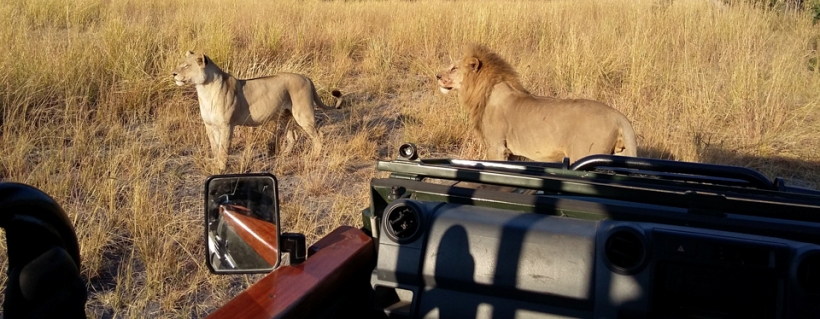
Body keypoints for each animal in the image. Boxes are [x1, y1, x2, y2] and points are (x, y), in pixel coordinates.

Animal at [171, 51, 342, 171]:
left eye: (186, 66)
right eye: (181, 64)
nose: (173, 73)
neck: (204, 89)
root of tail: (306, 78)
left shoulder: (227, 125)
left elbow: (223, 148)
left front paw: (221, 168)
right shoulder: (210, 125)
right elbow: (215, 146)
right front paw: (215, 163)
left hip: (303, 114)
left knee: (318, 135)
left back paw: (314, 156)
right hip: (285, 116)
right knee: (293, 136)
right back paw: (284, 155)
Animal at [436, 44, 640, 164]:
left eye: (453, 68)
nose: (437, 76)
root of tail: (618, 116)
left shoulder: (497, 147)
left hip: (583, 153)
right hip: (620, 154)